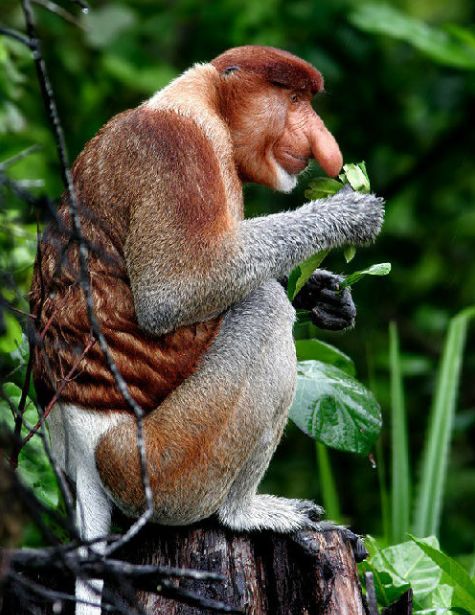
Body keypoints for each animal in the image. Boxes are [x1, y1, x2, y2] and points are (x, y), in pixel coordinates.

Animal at [29, 45, 384, 612]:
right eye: (294, 100)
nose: (322, 141)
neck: (206, 101)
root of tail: (84, 455)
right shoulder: (177, 151)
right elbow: (175, 292)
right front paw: (345, 213)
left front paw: (326, 294)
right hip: (158, 462)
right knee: (263, 308)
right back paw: (245, 513)